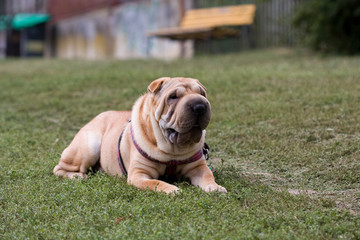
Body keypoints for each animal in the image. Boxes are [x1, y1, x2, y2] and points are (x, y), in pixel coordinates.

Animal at [53, 78, 226, 194]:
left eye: (202, 94)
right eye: (173, 97)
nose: (199, 106)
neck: (173, 150)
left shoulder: (198, 168)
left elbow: (208, 176)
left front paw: (215, 187)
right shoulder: (138, 174)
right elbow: (156, 182)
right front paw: (171, 189)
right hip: (89, 146)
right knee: (59, 168)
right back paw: (77, 176)